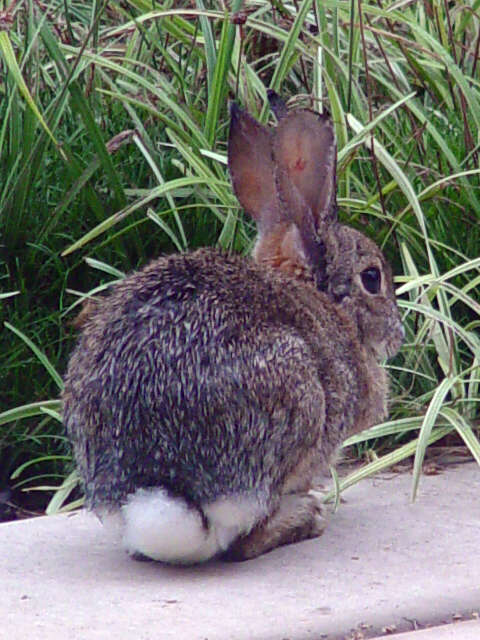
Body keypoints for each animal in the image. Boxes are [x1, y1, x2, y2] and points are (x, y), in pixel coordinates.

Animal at [62, 96, 404, 564]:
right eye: (372, 278)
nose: (397, 335)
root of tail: (161, 489)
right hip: (296, 399)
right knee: (243, 542)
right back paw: (305, 517)